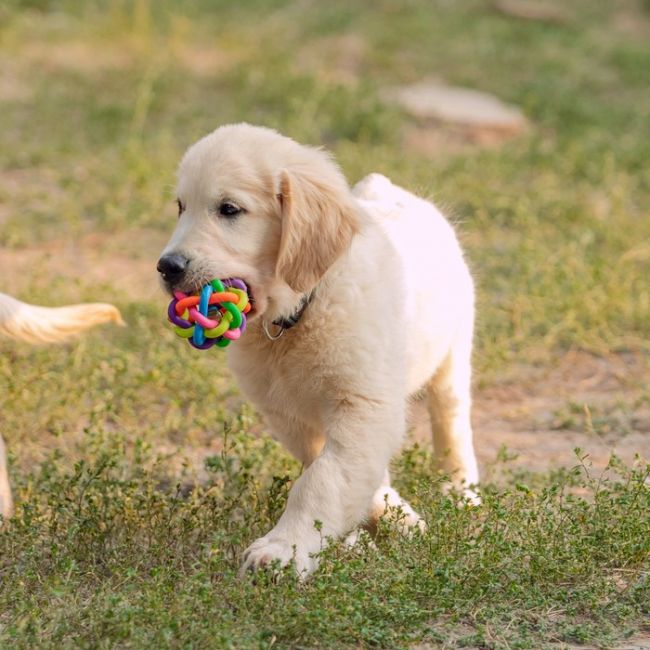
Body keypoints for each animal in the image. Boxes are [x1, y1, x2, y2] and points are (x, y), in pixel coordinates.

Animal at [157, 121, 476, 572]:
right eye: (181, 207)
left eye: (229, 210)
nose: (166, 267)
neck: (298, 314)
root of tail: (385, 188)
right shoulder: (288, 414)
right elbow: (338, 471)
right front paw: (381, 524)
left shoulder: (363, 402)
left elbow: (324, 479)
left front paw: (282, 548)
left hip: (453, 350)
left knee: (451, 418)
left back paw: (460, 489)